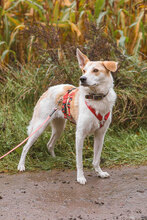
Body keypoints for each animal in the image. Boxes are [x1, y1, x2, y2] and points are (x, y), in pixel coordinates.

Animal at [17, 48, 117, 184]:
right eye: (84, 70)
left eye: (95, 70)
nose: (82, 79)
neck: (96, 98)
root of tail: (48, 90)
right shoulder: (80, 135)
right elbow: (79, 161)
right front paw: (80, 177)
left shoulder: (100, 135)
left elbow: (96, 159)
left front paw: (99, 173)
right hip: (39, 127)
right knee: (25, 147)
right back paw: (21, 165)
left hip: (59, 128)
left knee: (49, 144)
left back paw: (55, 159)